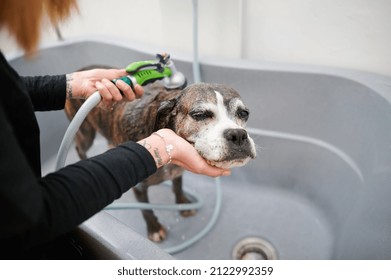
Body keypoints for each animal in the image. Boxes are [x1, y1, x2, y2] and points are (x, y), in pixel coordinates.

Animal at [65, 78, 258, 241]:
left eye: (244, 113)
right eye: (200, 115)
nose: (238, 135)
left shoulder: (177, 171)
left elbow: (178, 186)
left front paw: (182, 204)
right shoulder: (139, 187)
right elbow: (146, 210)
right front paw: (154, 229)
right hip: (85, 132)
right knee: (79, 148)